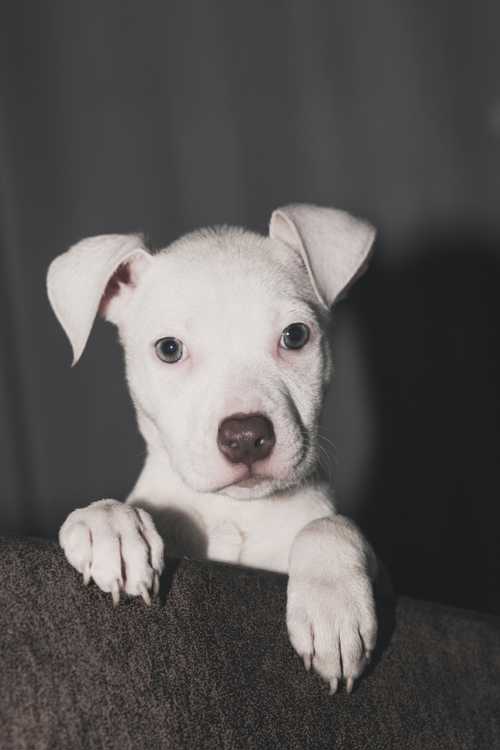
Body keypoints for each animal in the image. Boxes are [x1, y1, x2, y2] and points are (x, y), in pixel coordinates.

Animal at [48, 204, 378, 692]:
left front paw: (333, 604)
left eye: (295, 336)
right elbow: (112, 511)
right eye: (169, 349)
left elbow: (329, 525)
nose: (245, 437)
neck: (233, 512)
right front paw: (110, 526)